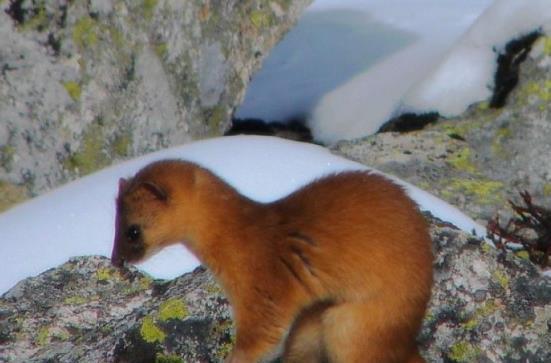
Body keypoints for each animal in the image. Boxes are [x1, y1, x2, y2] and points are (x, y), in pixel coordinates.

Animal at [112, 161, 434, 362]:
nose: (115, 260)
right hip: (311, 325)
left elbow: (259, 340)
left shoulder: (262, 291)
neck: (242, 237)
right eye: (114, 225)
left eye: (133, 231)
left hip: (354, 323)